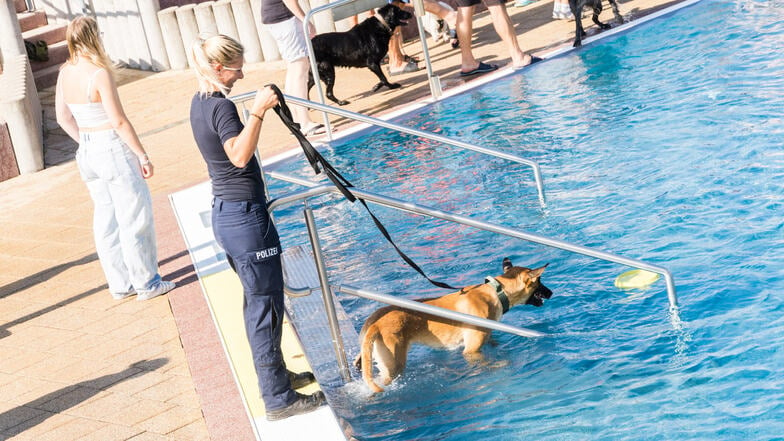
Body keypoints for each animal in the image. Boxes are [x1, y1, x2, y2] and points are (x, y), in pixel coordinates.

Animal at [356, 258, 552, 392]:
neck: (497, 292)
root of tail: (374, 324)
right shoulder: (472, 350)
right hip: (394, 366)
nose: (551, 292)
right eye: (540, 282)